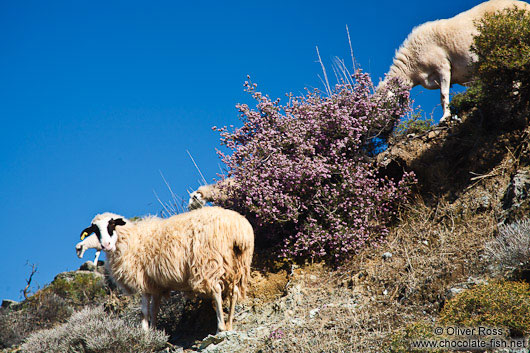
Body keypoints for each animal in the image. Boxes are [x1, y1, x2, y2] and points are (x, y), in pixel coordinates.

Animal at [79, 205, 255, 332]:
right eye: (95, 230)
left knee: (217, 290)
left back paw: (220, 327)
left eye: (112, 224)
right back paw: (230, 325)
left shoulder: (143, 281)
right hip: (238, 264)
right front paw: (154, 332)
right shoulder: (156, 285)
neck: (130, 239)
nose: (105, 245)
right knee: (234, 292)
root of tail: (237, 228)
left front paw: (144, 333)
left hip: (208, 261)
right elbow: (154, 310)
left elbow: (144, 311)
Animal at [376, 0, 528, 124]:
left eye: (383, 101)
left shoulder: (442, 66)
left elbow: (443, 95)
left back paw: (514, 93)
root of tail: (526, 7)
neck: (412, 67)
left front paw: (445, 118)